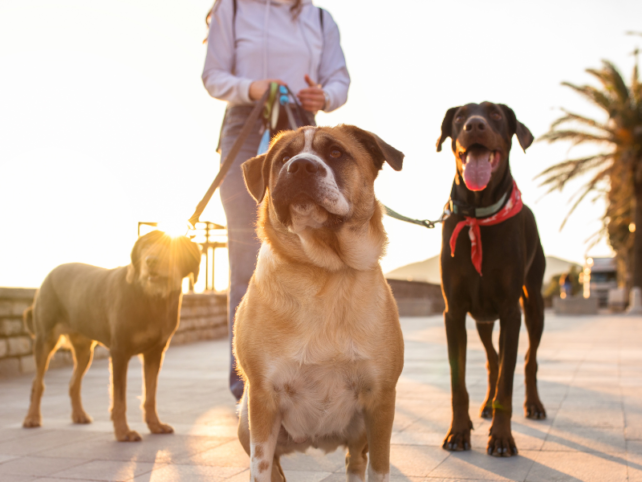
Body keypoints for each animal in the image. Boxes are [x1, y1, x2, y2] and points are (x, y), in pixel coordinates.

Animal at [22, 232, 199, 442]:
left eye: (172, 247)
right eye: (146, 245)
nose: (151, 261)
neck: (151, 298)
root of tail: (50, 274)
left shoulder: (155, 352)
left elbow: (150, 394)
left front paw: (155, 425)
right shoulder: (119, 352)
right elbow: (119, 398)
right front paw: (123, 432)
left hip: (84, 350)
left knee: (74, 382)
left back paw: (79, 414)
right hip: (45, 339)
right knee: (37, 382)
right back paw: (32, 417)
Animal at [235, 125, 404, 482]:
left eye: (336, 153)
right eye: (284, 157)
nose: (300, 166)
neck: (325, 271)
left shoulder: (381, 400)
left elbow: (378, 468)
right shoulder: (262, 400)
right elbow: (261, 467)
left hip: (361, 430)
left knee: (355, 461)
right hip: (245, 420)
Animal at [432, 103, 544, 458]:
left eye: (495, 114)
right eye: (458, 117)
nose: (475, 125)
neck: (478, 217)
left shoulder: (510, 312)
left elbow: (507, 384)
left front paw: (502, 438)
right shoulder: (453, 312)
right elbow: (458, 384)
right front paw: (458, 432)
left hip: (534, 304)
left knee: (528, 360)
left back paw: (534, 405)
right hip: (482, 318)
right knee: (492, 361)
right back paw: (482, 407)